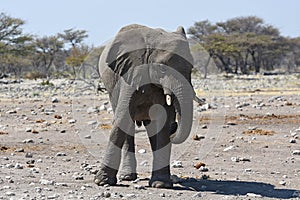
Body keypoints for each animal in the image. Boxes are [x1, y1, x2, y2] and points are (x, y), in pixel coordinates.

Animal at [95, 24, 196, 188]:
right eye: (163, 69)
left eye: (191, 69)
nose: (174, 127)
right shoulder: (131, 74)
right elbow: (123, 118)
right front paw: (102, 181)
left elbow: (163, 121)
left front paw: (160, 184)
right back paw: (127, 177)